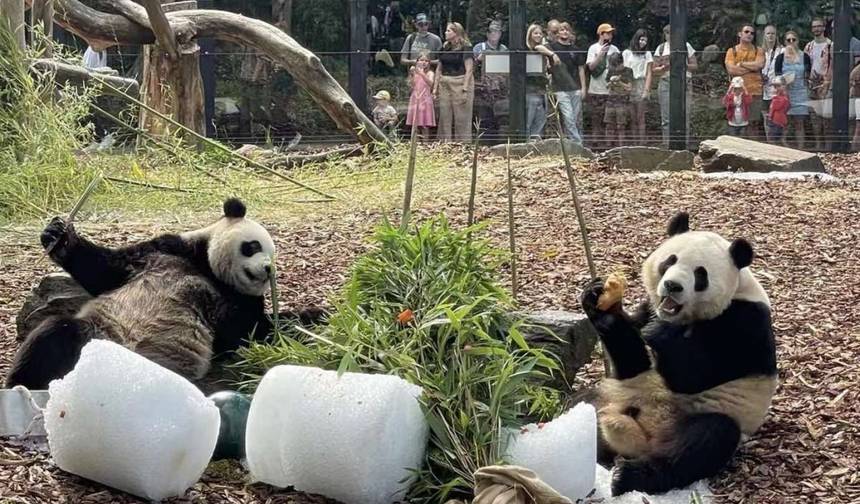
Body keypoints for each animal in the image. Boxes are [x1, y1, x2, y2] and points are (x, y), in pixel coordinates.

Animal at [6, 198, 296, 390]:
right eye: (253, 246)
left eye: (274, 256)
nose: (267, 268)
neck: (207, 267)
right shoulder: (163, 249)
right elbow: (103, 269)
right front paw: (59, 236)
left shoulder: (239, 301)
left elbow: (248, 334)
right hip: (98, 333)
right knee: (54, 334)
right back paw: (21, 386)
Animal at [578, 212, 777, 496]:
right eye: (670, 261)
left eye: (700, 274)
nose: (672, 285)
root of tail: (641, 442)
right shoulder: (650, 308)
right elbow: (632, 361)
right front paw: (599, 299)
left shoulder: (745, 323)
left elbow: (692, 376)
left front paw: (660, 333)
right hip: (611, 397)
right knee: (582, 403)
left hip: (696, 417)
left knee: (705, 440)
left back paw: (627, 477)